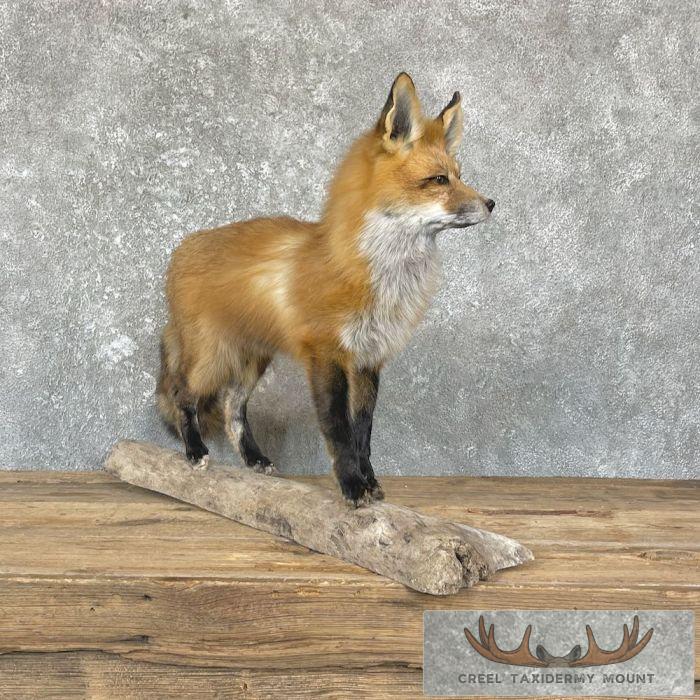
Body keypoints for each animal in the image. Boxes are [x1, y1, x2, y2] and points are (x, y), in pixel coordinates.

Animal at [157, 73, 495, 506]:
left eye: (460, 175)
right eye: (439, 180)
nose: (491, 203)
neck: (379, 275)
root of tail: (182, 248)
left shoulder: (368, 359)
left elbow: (363, 433)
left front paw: (370, 483)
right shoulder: (325, 354)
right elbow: (338, 430)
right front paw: (352, 487)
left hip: (251, 360)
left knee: (233, 410)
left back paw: (254, 459)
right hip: (213, 358)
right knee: (181, 393)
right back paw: (194, 450)